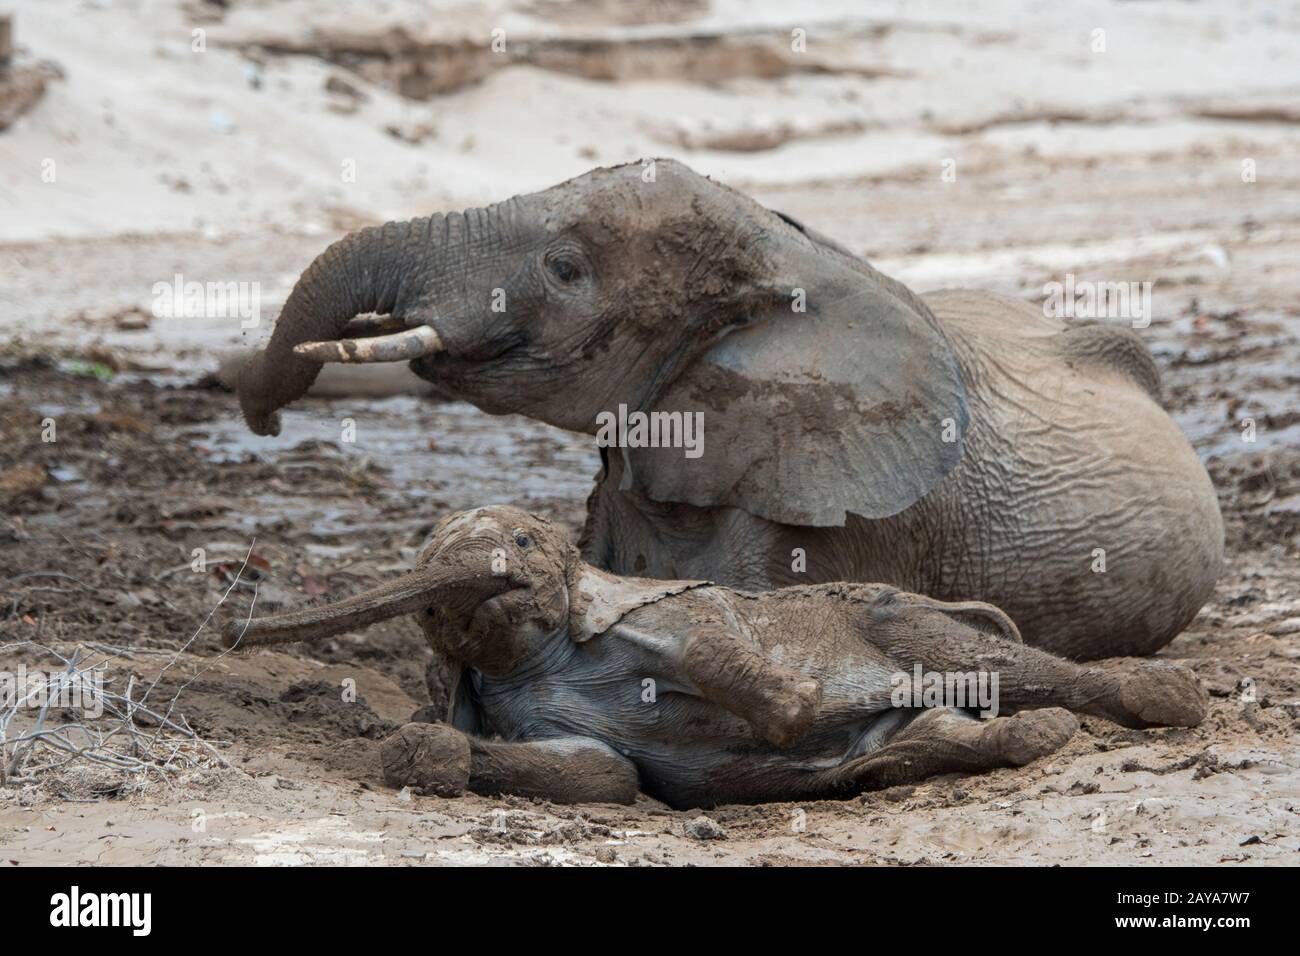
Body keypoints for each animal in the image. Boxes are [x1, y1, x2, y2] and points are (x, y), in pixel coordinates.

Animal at [222, 506, 1208, 808]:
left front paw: (791, 711)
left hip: (901, 616)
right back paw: (1034, 738)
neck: (539, 653)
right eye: (428, 601)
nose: (231, 627)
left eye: (523, 544)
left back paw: (1165, 697)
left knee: (972, 658)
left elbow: (716, 647)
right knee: (921, 739)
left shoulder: (663, 608)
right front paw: (417, 750)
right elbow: (601, 773)